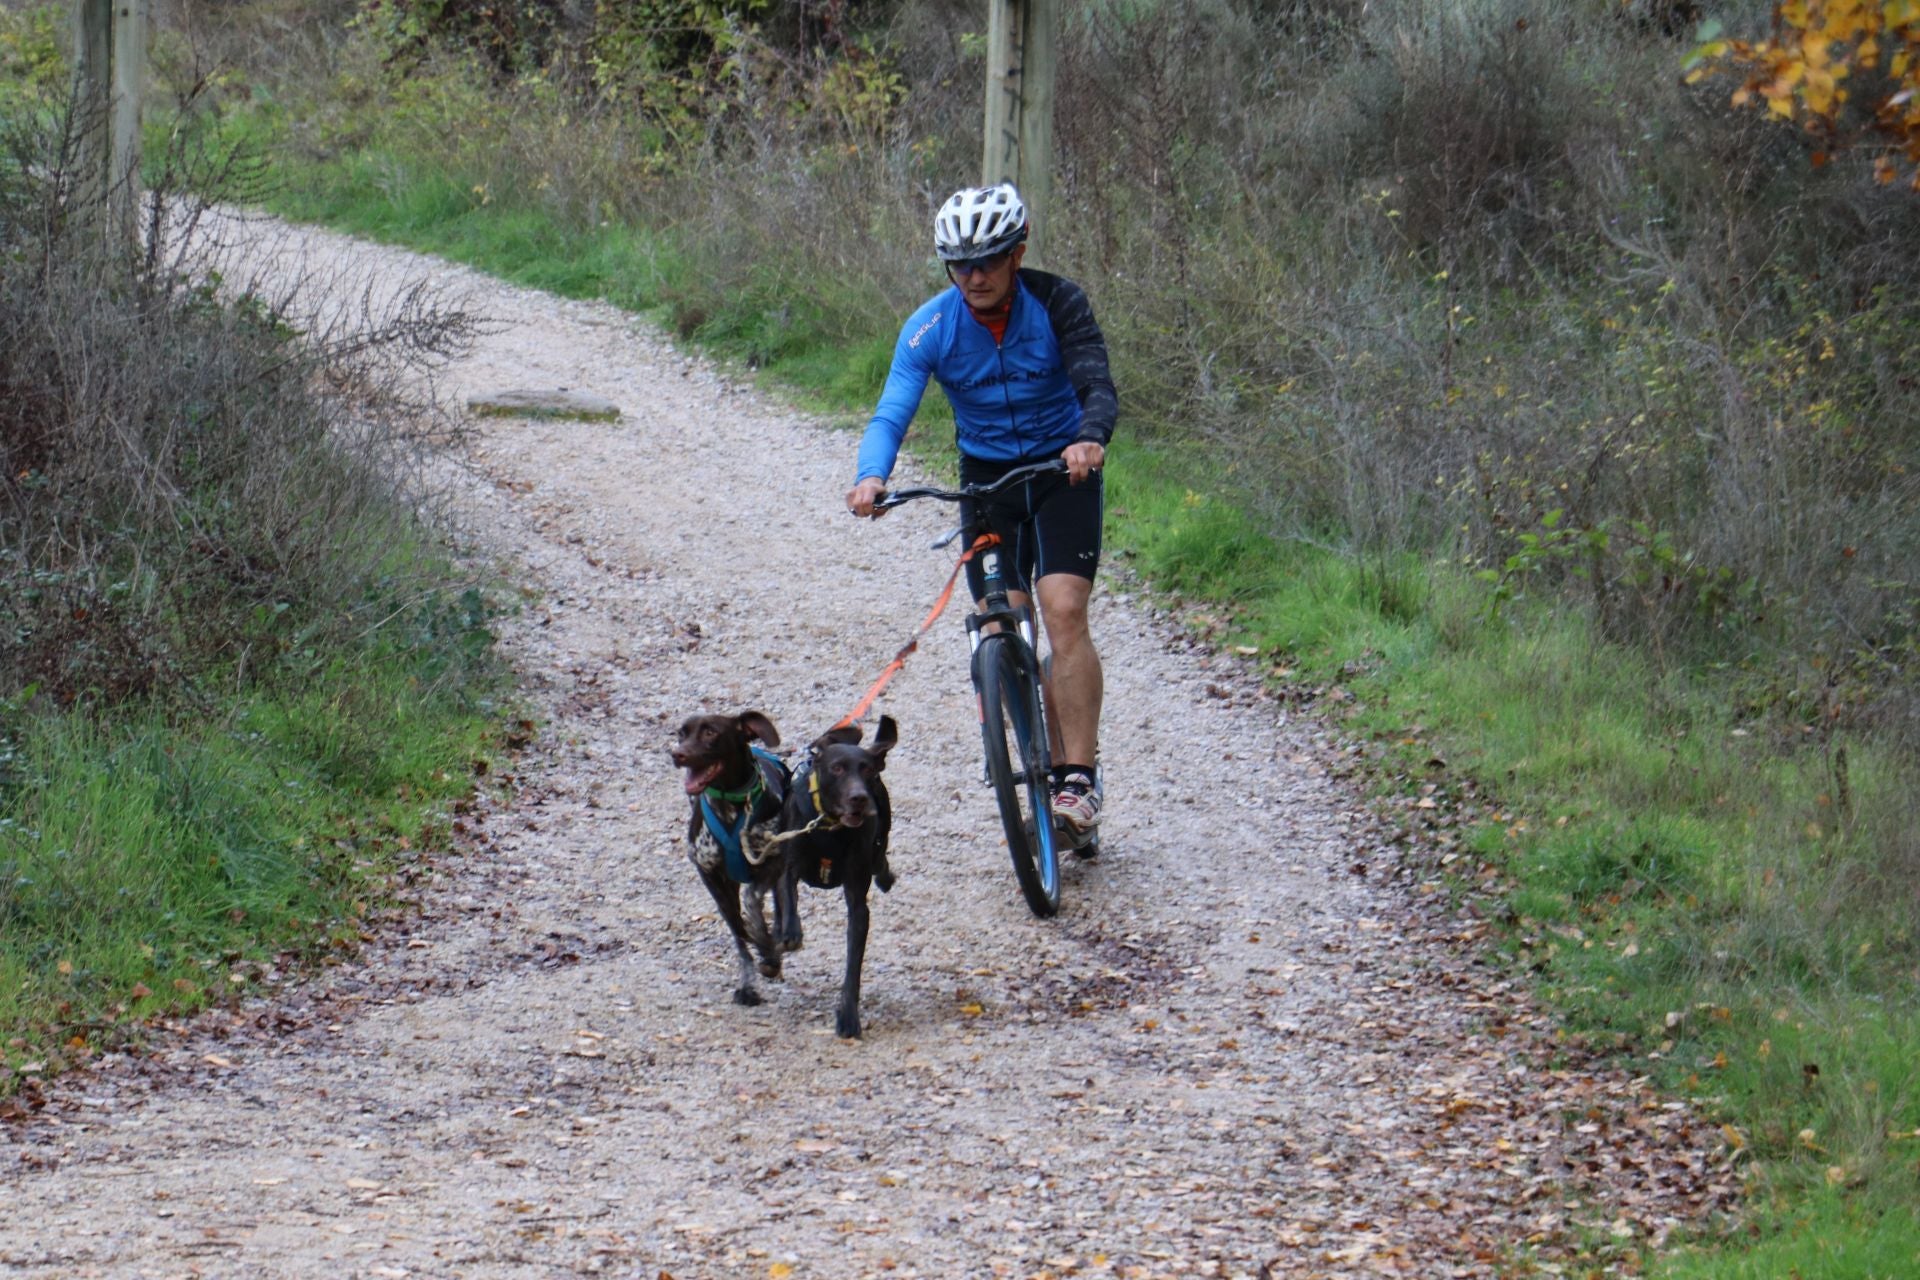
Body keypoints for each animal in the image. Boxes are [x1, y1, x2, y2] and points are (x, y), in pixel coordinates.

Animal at [672, 710, 791, 1013]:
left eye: (711, 732)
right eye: (681, 733)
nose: (677, 754)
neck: (732, 805)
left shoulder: (774, 860)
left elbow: (753, 899)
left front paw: (767, 945)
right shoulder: (709, 873)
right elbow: (738, 931)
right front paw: (748, 984)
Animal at [771, 717, 898, 1036]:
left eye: (867, 770)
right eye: (837, 768)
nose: (859, 798)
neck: (829, 829)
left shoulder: (857, 901)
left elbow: (853, 966)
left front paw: (848, 1016)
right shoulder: (789, 862)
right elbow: (787, 892)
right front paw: (790, 932)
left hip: (880, 837)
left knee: (881, 861)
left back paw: (886, 877)